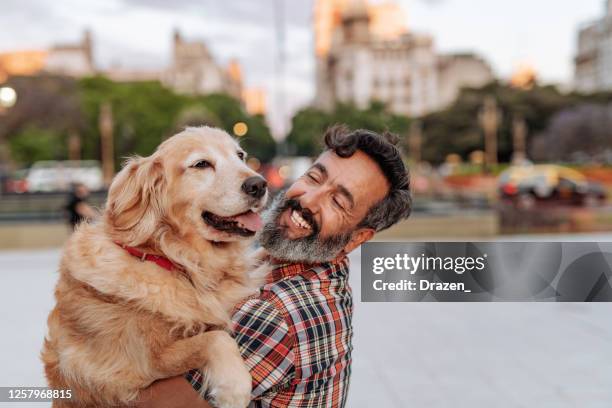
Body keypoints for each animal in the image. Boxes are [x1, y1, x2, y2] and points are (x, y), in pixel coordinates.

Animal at [41, 126, 268, 406]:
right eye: (201, 164)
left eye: (240, 156)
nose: (259, 184)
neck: (174, 259)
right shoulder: (133, 364)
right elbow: (214, 338)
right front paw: (234, 387)